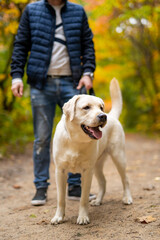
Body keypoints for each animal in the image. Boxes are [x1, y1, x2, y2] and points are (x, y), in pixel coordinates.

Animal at [51, 78, 132, 225]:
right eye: (86, 107)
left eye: (101, 107)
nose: (103, 116)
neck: (75, 140)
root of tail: (112, 115)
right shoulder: (60, 171)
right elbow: (61, 198)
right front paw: (58, 217)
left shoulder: (87, 171)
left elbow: (83, 198)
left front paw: (83, 217)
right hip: (97, 165)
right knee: (103, 182)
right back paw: (98, 200)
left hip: (118, 157)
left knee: (126, 179)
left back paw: (127, 198)